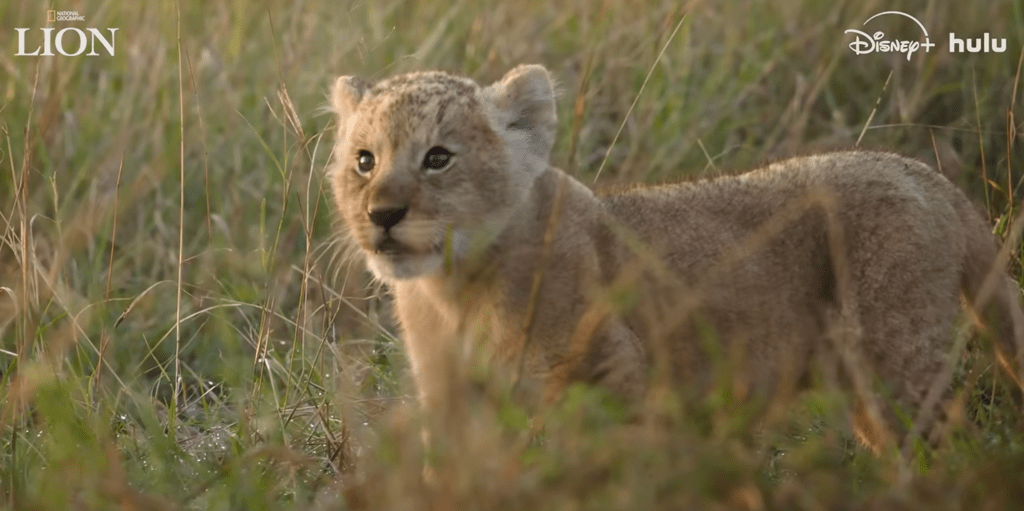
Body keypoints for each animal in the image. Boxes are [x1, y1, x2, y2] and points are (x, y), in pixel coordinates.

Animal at [326, 64, 1024, 452]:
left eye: (438, 158)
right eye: (364, 160)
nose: (381, 215)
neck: (454, 291)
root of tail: (922, 173)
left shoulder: (612, 375)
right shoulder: (451, 399)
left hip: (896, 367)